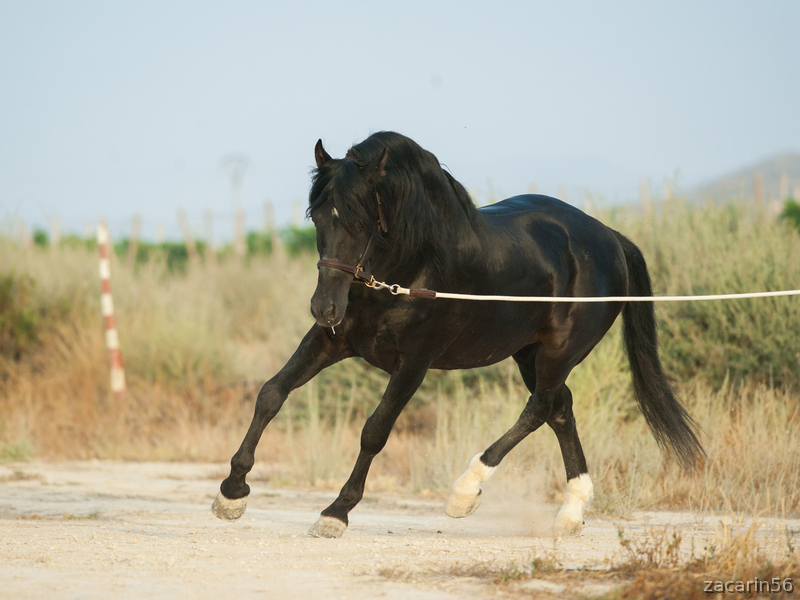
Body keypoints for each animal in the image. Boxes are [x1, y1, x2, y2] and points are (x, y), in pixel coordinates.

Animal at [212, 131, 704, 538]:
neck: (409, 265)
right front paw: (231, 492)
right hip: (529, 353)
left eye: (359, 221)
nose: (325, 307)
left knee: (539, 407)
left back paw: (465, 492)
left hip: (559, 352)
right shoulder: (331, 342)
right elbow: (271, 393)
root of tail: (611, 239)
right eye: (316, 216)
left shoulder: (413, 364)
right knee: (560, 409)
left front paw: (336, 513)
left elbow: (375, 431)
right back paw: (570, 513)